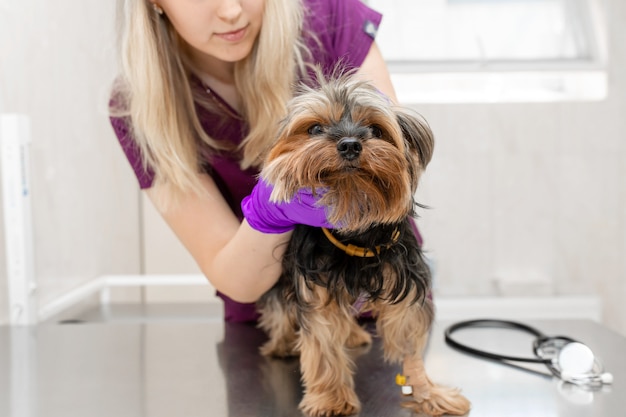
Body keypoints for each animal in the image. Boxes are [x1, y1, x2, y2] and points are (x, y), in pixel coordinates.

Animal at [255, 72, 468, 416]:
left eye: (376, 130)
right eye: (315, 129)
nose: (350, 144)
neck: (356, 229)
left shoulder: (403, 280)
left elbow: (409, 340)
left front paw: (428, 394)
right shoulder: (316, 286)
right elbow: (323, 343)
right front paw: (330, 399)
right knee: (279, 307)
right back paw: (282, 343)